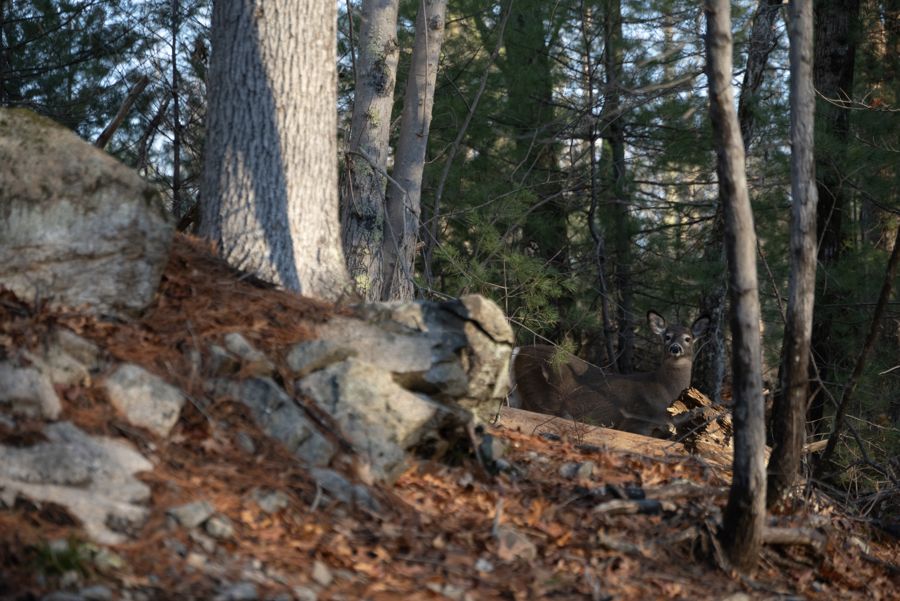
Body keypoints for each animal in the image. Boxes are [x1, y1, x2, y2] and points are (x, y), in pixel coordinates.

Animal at [510, 311, 710, 437]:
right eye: (666, 336)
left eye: (688, 338)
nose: (675, 348)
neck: (663, 390)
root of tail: (518, 351)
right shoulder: (637, 418)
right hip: (542, 393)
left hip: (519, 393)